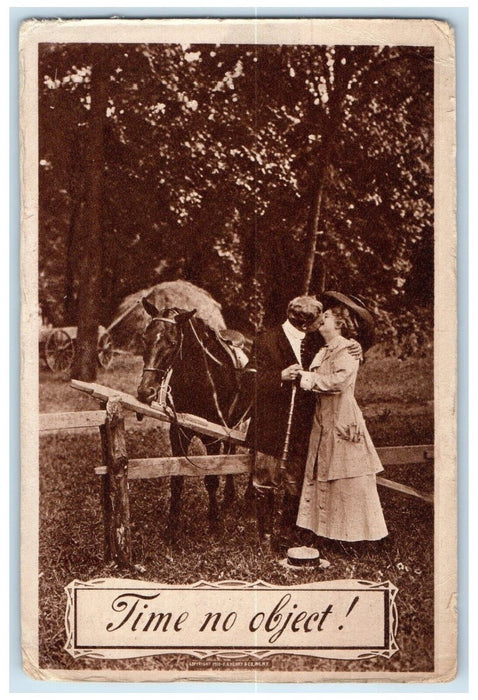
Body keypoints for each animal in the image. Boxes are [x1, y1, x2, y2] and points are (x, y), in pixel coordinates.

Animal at [136, 300, 252, 536]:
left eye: (172, 343)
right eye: (145, 338)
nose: (145, 391)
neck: (199, 380)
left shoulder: (213, 437)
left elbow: (211, 479)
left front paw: (214, 522)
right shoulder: (178, 433)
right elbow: (177, 478)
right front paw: (172, 527)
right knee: (232, 451)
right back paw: (229, 497)